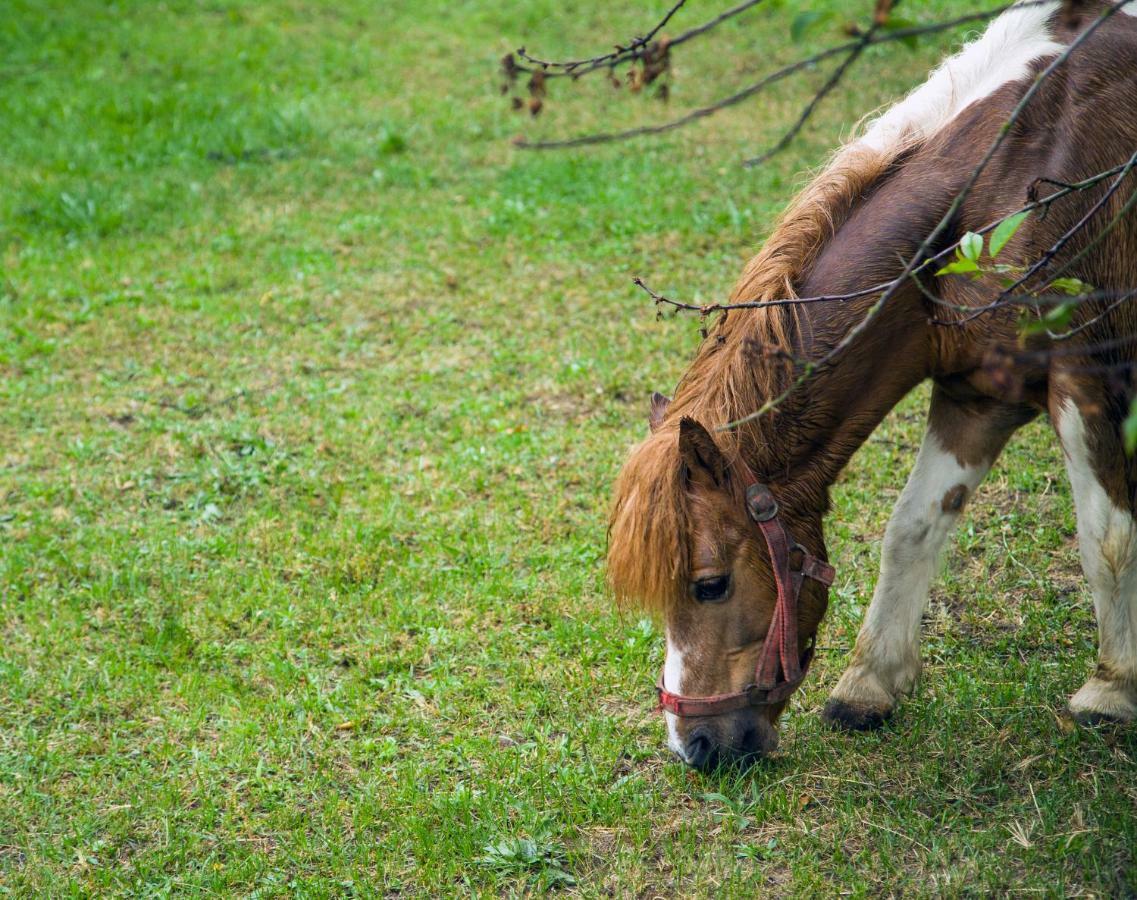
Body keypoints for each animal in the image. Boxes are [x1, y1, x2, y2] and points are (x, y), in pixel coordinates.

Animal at [609, 1, 1137, 772]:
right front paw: (869, 685)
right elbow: (911, 527)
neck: (1016, 171)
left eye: (709, 585)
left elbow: (1106, 536)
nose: (695, 745)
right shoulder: (977, 394)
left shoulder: (1089, 372)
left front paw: (1111, 690)